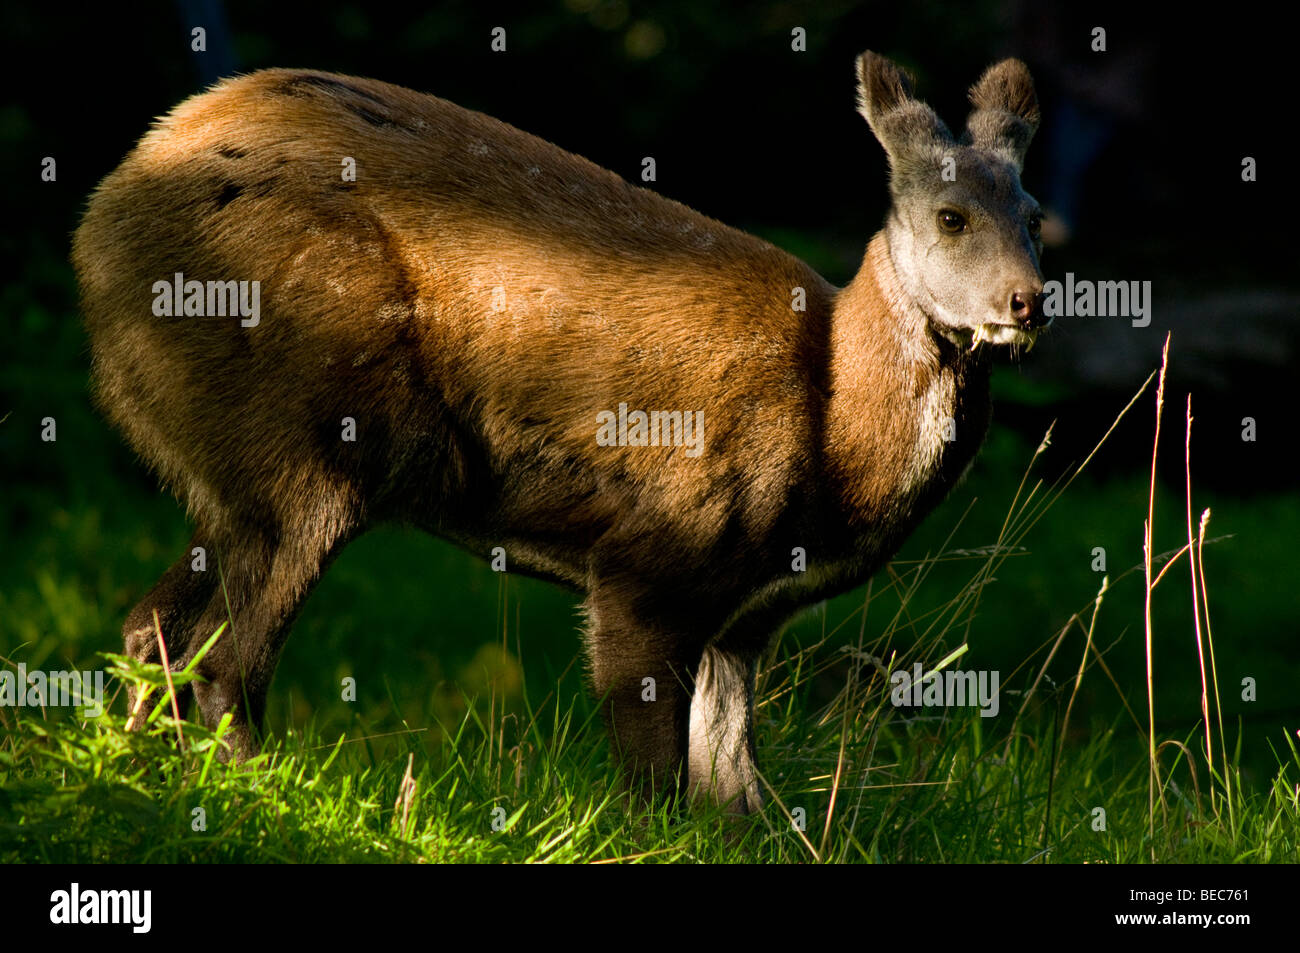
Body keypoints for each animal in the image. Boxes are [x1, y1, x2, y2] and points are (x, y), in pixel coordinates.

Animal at [72, 50, 1046, 814]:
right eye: (951, 216)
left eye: (1035, 218)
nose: (1028, 301)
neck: (835, 436)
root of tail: (98, 231)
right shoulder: (654, 556)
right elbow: (656, 780)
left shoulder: (745, 619)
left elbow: (736, 790)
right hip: (306, 442)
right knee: (224, 661)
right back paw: (255, 799)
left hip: (234, 472)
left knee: (151, 627)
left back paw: (136, 781)